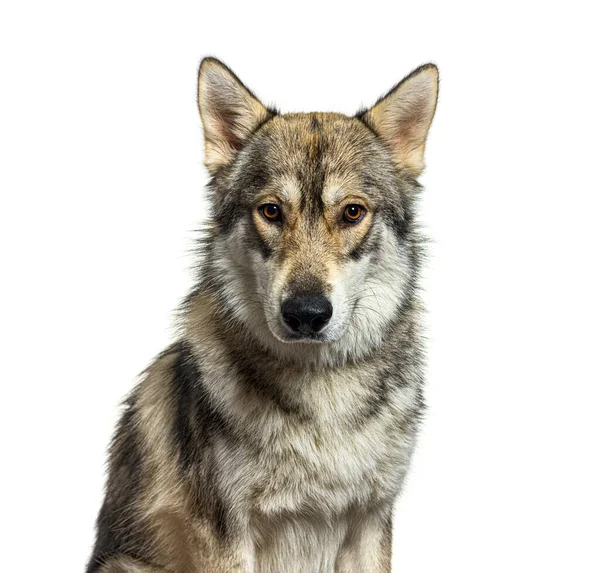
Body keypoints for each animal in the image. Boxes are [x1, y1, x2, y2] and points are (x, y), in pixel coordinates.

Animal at [85, 54, 436, 572]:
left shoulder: (371, 521)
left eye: (352, 212)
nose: (306, 313)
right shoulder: (226, 535)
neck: (321, 396)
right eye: (271, 211)